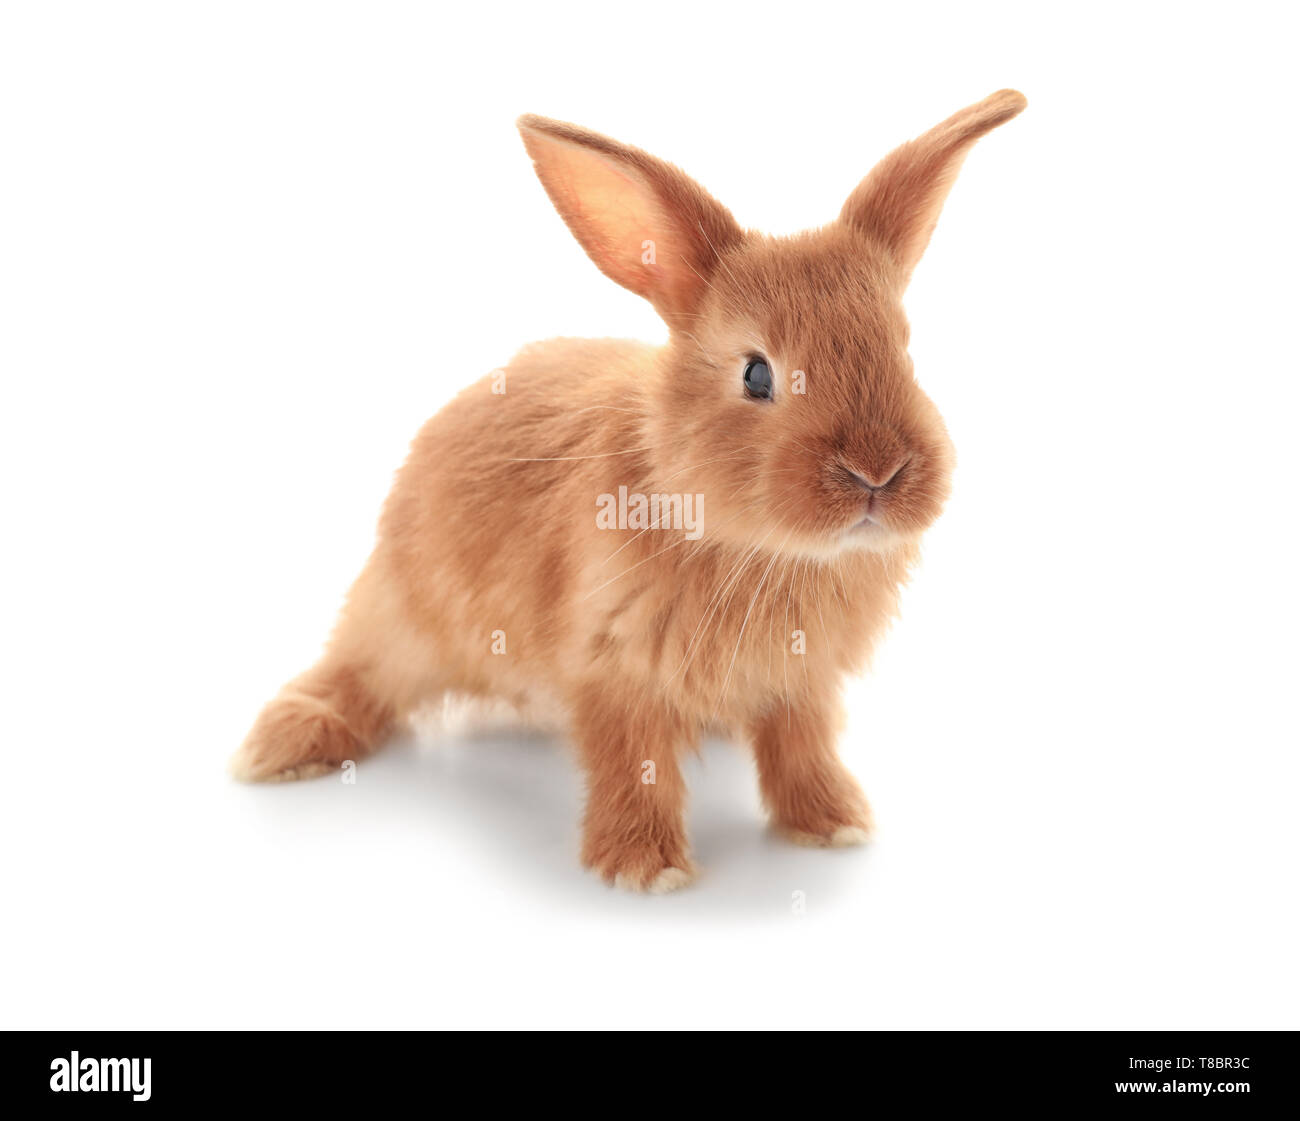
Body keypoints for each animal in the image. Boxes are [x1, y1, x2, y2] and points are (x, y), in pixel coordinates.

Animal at [231, 90, 1027, 892]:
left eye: (904, 350)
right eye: (757, 374)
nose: (879, 472)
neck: (750, 542)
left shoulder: (801, 683)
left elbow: (800, 748)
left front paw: (833, 822)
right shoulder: (614, 664)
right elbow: (633, 761)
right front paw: (645, 867)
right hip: (403, 616)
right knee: (356, 671)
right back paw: (282, 746)